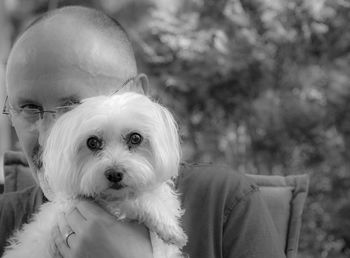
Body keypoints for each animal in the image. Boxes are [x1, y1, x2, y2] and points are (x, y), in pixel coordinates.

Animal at [4, 92, 187, 258]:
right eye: (92, 142)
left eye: (135, 138)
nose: (114, 174)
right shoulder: (106, 205)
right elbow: (139, 201)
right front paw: (169, 227)